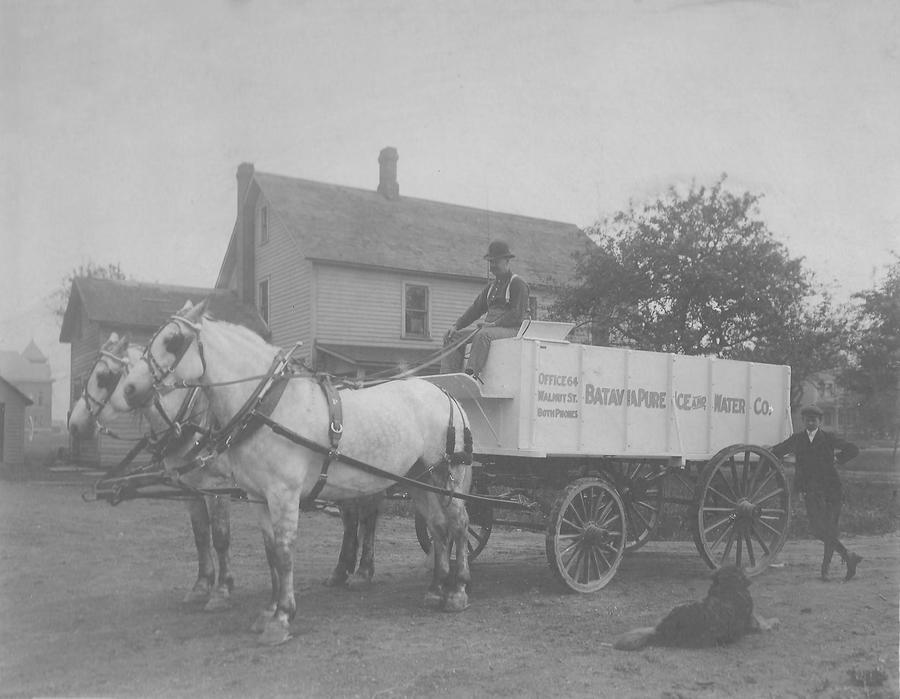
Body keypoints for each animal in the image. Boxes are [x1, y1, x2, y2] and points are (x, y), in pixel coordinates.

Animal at [118, 300, 478, 644]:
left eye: (173, 341)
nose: (129, 389)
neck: (270, 407)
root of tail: (447, 395)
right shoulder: (257, 496)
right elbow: (269, 552)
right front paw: (269, 610)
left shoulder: (283, 493)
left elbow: (284, 550)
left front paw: (282, 618)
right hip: (419, 478)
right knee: (438, 526)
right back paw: (436, 589)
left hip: (447, 477)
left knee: (459, 524)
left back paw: (457, 591)